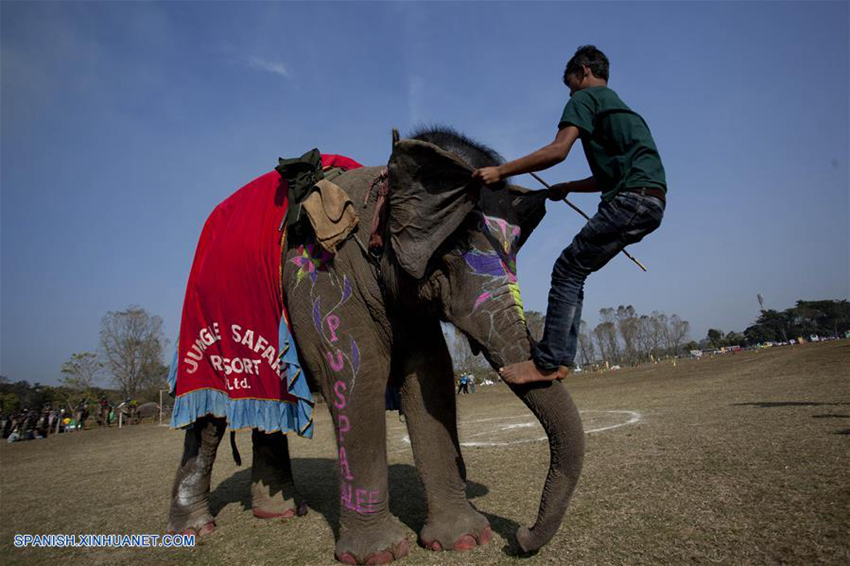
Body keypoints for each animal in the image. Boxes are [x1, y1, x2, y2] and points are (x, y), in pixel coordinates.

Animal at [166, 126, 584, 564]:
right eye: (450, 255)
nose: (521, 537)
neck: (383, 186)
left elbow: (431, 376)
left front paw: (466, 540)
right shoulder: (326, 279)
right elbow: (359, 375)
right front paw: (379, 554)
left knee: (271, 409)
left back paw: (277, 514)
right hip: (203, 321)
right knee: (207, 418)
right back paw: (195, 528)